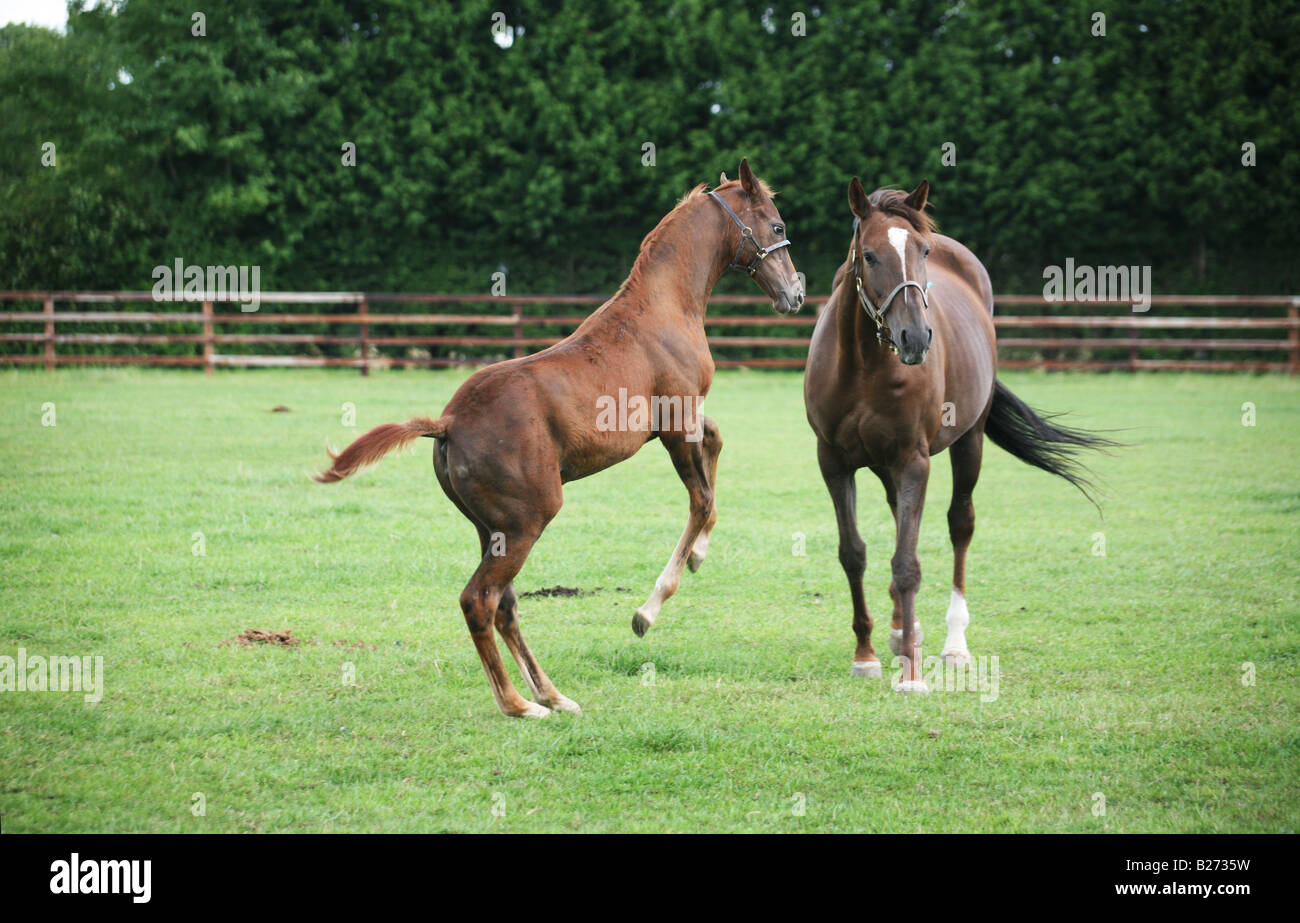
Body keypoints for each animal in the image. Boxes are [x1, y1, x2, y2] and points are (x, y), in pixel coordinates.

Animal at [314, 159, 800, 717]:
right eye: (777, 226)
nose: (795, 295)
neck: (664, 306)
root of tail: (449, 422)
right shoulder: (677, 424)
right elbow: (702, 500)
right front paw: (647, 611)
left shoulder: (684, 419)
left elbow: (717, 451)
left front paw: (698, 556)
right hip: (528, 520)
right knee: (479, 600)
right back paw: (518, 704)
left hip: (491, 527)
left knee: (504, 604)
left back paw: (552, 694)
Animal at [806, 176, 1112, 696]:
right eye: (868, 255)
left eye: (923, 251)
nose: (915, 338)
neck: (864, 363)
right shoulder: (834, 462)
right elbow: (854, 554)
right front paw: (866, 654)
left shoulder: (913, 461)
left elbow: (907, 564)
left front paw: (911, 673)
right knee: (898, 520)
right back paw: (900, 631)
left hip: (968, 442)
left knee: (959, 525)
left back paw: (953, 644)